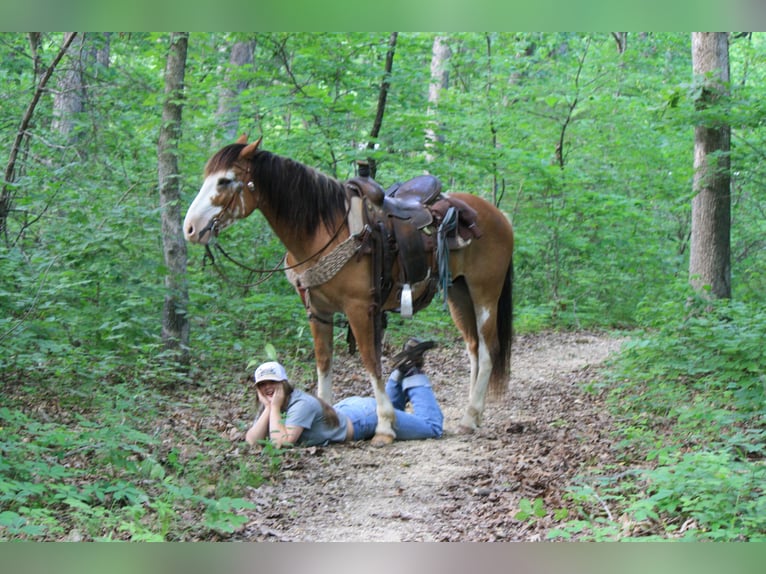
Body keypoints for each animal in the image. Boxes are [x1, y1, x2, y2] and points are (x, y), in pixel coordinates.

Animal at [183, 136, 514, 446]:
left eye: (225, 180)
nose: (189, 228)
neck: (324, 231)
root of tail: (498, 216)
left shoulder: (359, 308)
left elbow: (370, 360)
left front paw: (384, 426)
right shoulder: (317, 312)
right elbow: (324, 362)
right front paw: (327, 413)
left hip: (485, 293)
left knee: (488, 350)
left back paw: (470, 417)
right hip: (459, 295)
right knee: (473, 349)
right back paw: (472, 412)